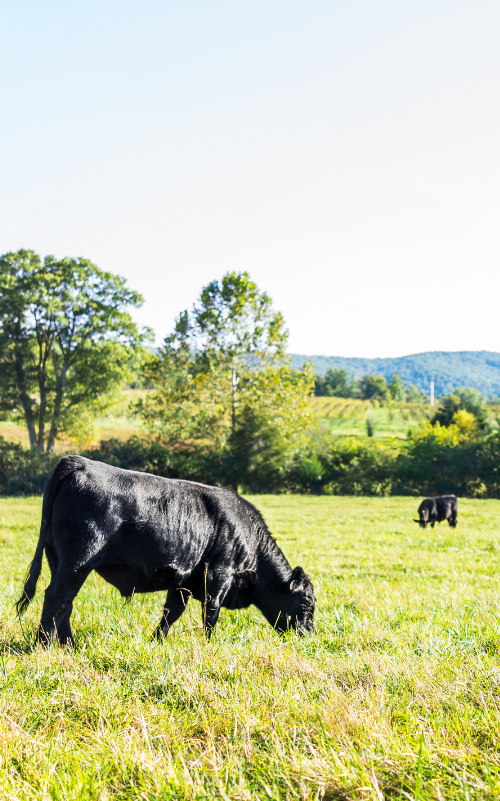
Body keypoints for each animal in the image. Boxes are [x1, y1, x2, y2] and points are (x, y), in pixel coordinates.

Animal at [16, 456, 315, 646]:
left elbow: (171, 614)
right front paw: (210, 646)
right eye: (307, 604)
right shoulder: (219, 575)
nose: (310, 634)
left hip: (58, 559)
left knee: (64, 603)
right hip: (77, 561)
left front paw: (157, 642)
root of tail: (77, 461)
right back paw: (44, 645)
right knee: (56, 597)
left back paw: (68, 644)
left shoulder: (183, 582)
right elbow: (211, 614)